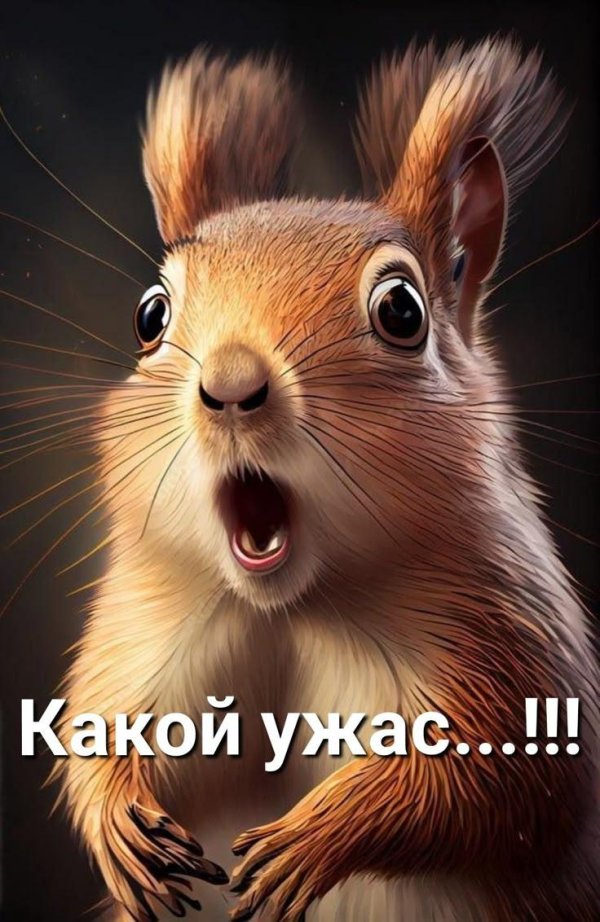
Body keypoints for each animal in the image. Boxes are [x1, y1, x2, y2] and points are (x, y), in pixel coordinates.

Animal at [50, 38, 599, 921]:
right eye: (149, 316)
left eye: (403, 310)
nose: (230, 384)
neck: (293, 605)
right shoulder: (145, 628)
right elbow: (101, 722)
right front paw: (116, 819)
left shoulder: (513, 642)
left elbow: (505, 783)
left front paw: (314, 836)